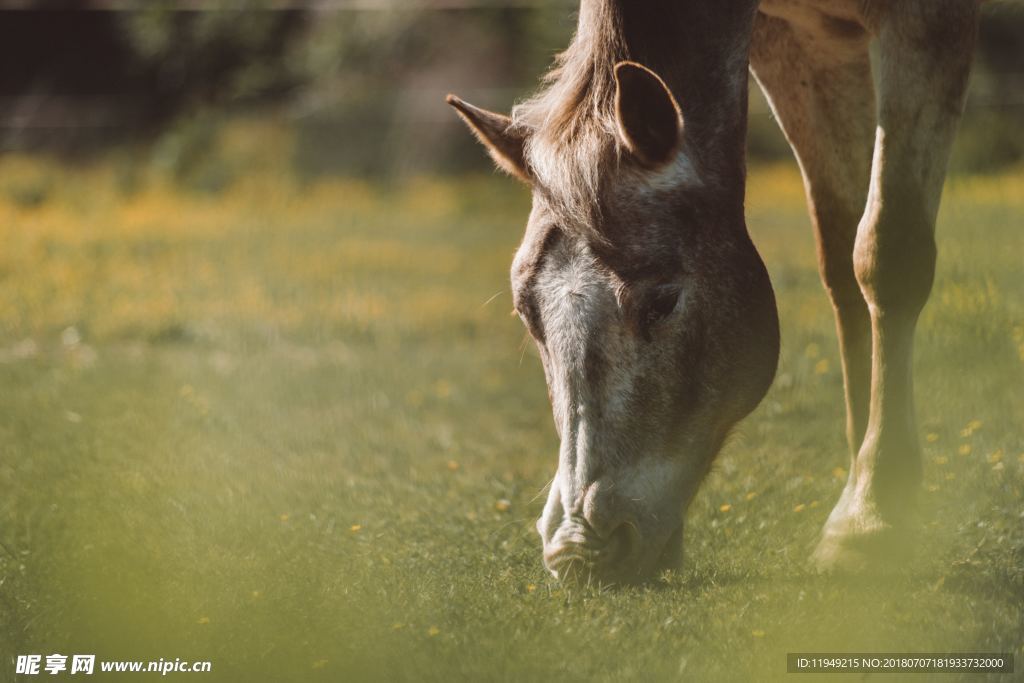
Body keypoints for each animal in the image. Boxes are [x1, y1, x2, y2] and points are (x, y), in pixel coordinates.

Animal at [446, 0, 974, 585]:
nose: (577, 553)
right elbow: (844, 260)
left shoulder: (925, 25)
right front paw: (867, 492)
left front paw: (871, 516)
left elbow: (885, 256)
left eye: (662, 301)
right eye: (527, 314)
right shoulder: (800, 45)